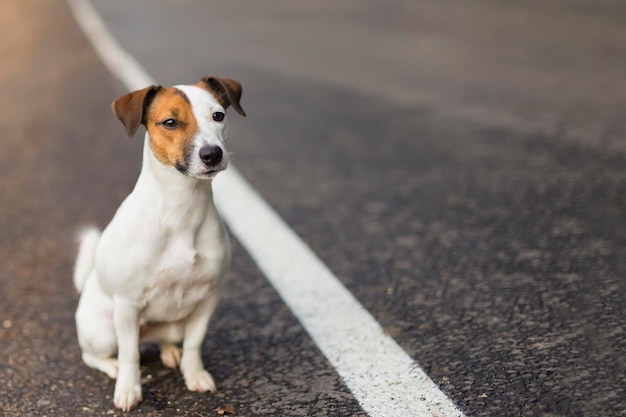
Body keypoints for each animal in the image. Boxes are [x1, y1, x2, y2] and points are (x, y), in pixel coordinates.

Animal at [74, 75, 245, 410]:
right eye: (170, 122)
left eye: (218, 115)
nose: (212, 154)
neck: (182, 209)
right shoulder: (127, 305)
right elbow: (129, 355)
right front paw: (129, 390)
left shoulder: (208, 298)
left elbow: (195, 344)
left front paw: (194, 374)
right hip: (103, 330)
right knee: (95, 354)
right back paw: (112, 366)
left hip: (175, 323)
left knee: (167, 339)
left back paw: (170, 352)